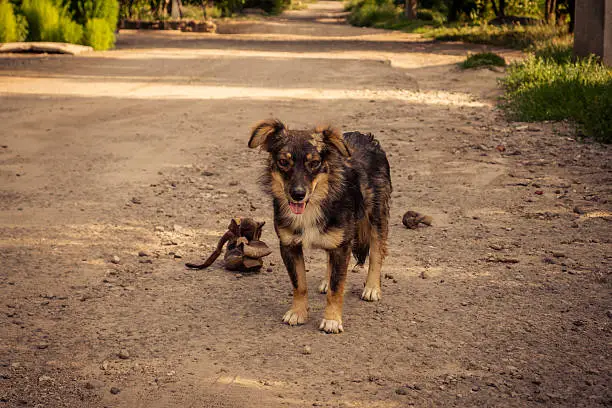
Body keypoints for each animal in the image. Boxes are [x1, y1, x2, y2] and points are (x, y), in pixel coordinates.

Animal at [249, 118, 392, 334]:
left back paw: (372, 288)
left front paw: (332, 320)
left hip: (376, 216)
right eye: (283, 162)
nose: (298, 194)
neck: (313, 203)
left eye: (314, 163)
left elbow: (337, 287)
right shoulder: (289, 245)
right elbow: (299, 283)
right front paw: (298, 313)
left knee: (376, 252)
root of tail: (364, 136)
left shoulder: (342, 246)